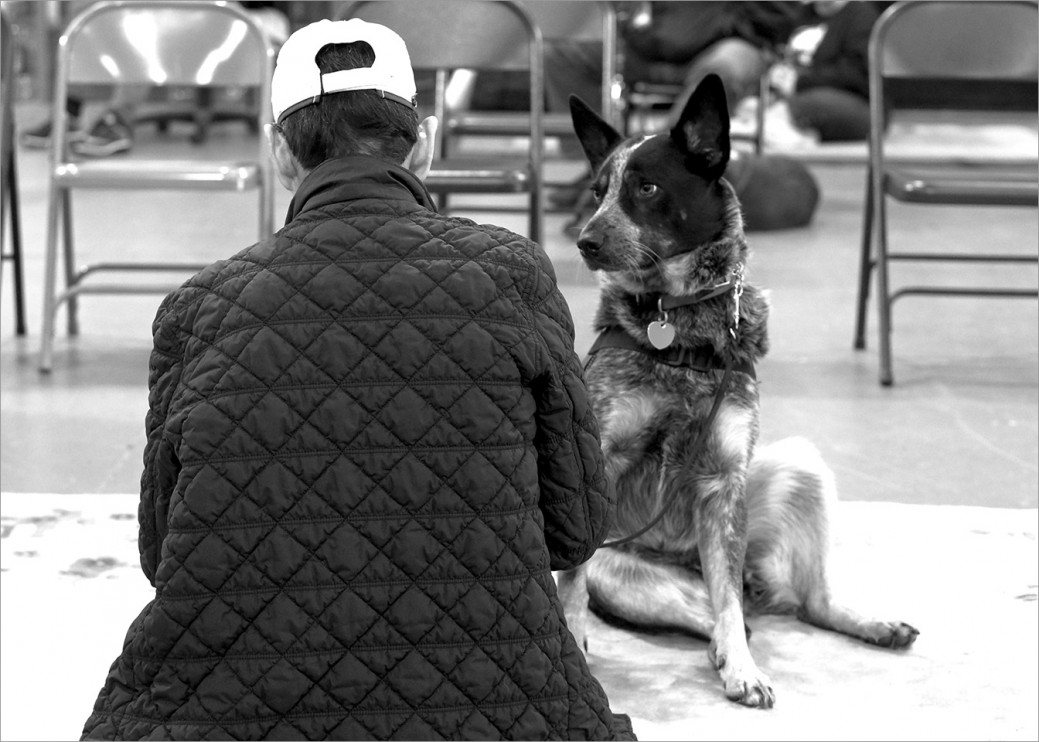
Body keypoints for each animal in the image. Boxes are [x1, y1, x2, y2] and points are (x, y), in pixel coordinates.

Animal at [556, 73, 922, 706]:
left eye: (646, 187)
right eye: (598, 191)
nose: (585, 242)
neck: (680, 323)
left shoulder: (727, 484)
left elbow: (726, 601)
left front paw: (745, 671)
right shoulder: (597, 462)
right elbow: (573, 585)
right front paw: (576, 654)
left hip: (795, 472)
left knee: (795, 601)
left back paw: (862, 623)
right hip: (633, 577)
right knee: (724, 611)